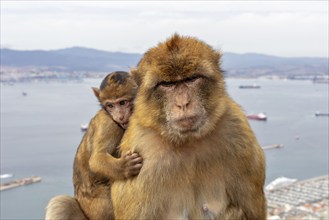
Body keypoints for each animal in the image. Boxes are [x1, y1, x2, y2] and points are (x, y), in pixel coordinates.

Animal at [44, 71, 142, 219]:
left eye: (122, 102)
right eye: (110, 106)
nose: (119, 116)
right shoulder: (109, 124)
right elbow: (96, 159)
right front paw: (125, 167)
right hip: (98, 208)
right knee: (62, 202)